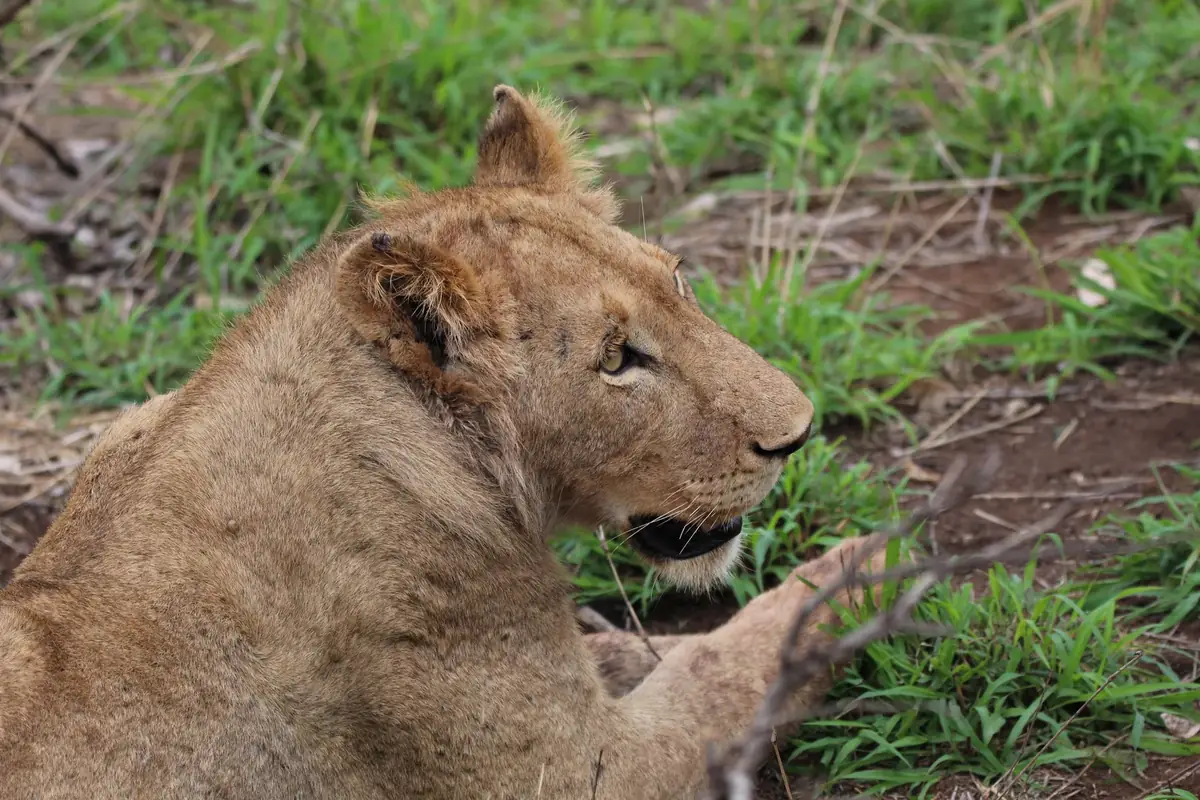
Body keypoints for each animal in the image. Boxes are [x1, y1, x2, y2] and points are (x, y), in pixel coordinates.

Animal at [0, 86, 888, 799]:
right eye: (615, 360)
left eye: (680, 285)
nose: (799, 432)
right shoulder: (579, 776)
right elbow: (733, 666)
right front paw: (868, 569)